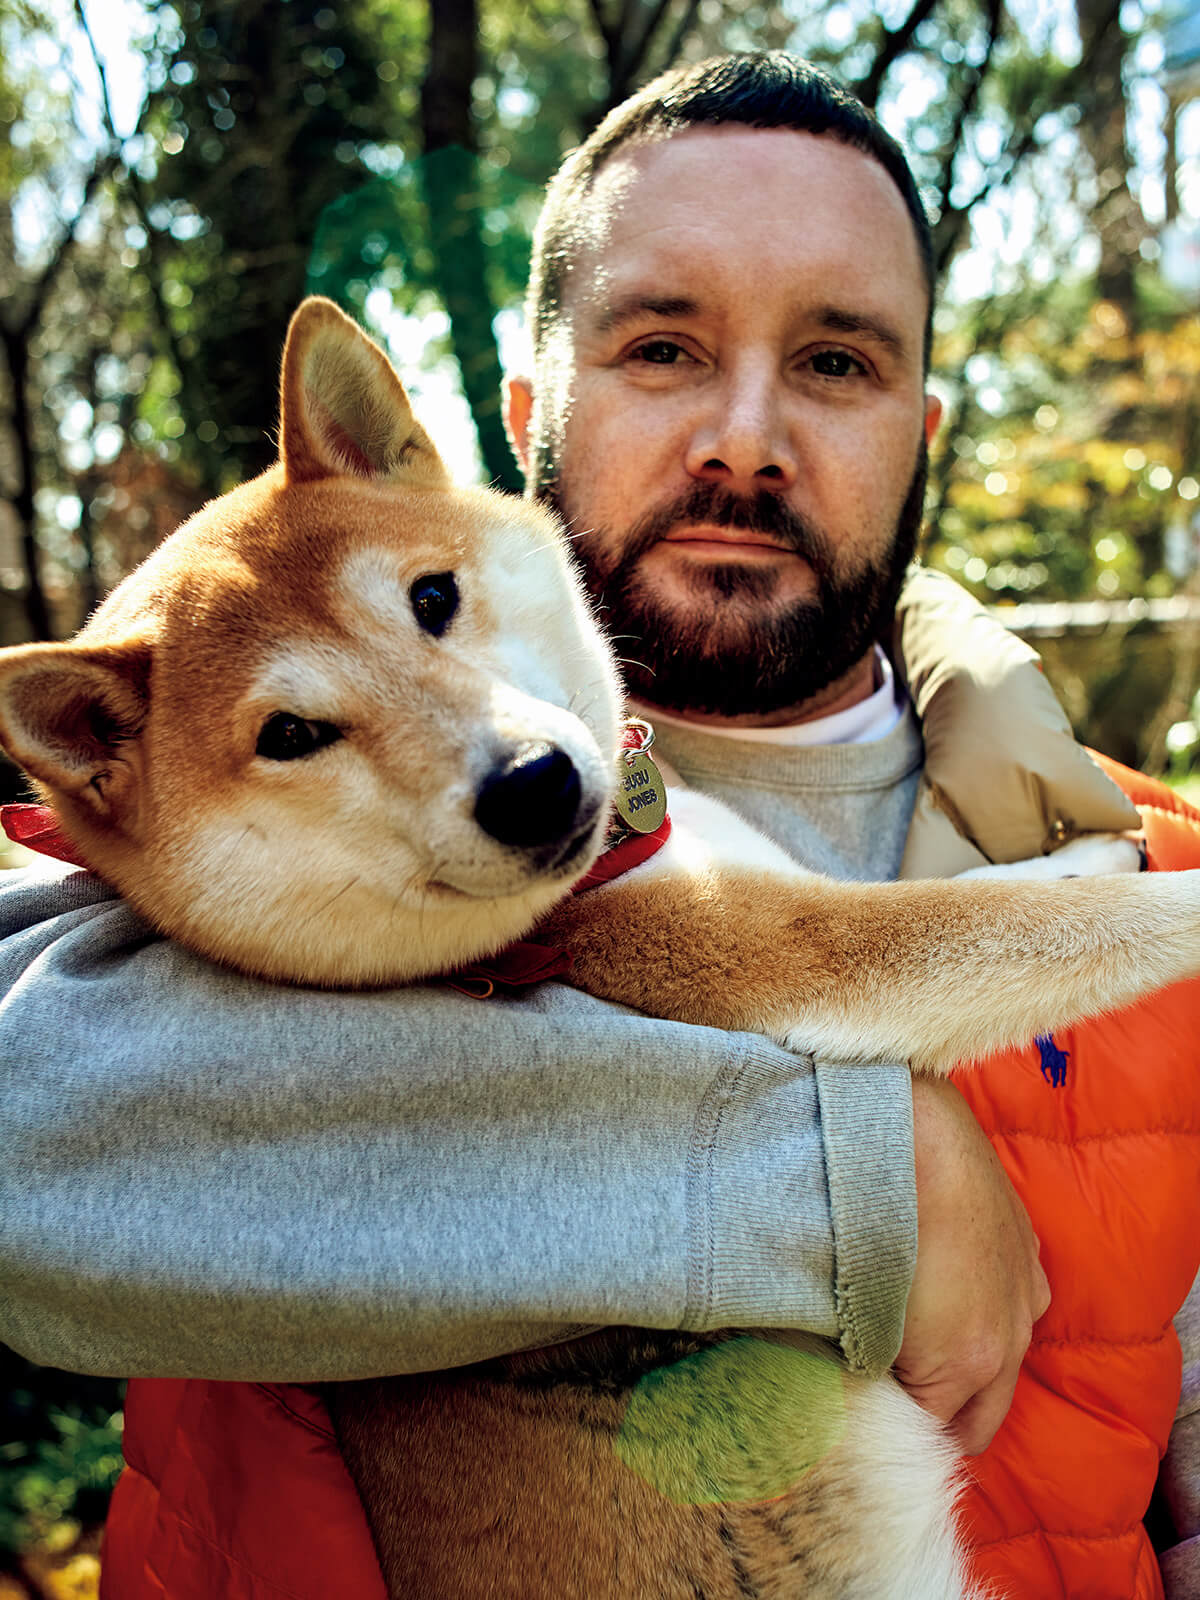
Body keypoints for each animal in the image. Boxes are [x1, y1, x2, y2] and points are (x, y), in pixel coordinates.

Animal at [2, 297, 1200, 1587]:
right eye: (290, 734)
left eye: (432, 597)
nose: (530, 784)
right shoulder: (763, 950)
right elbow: (1027, 925)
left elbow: (1007, 885)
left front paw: (1101, 843)